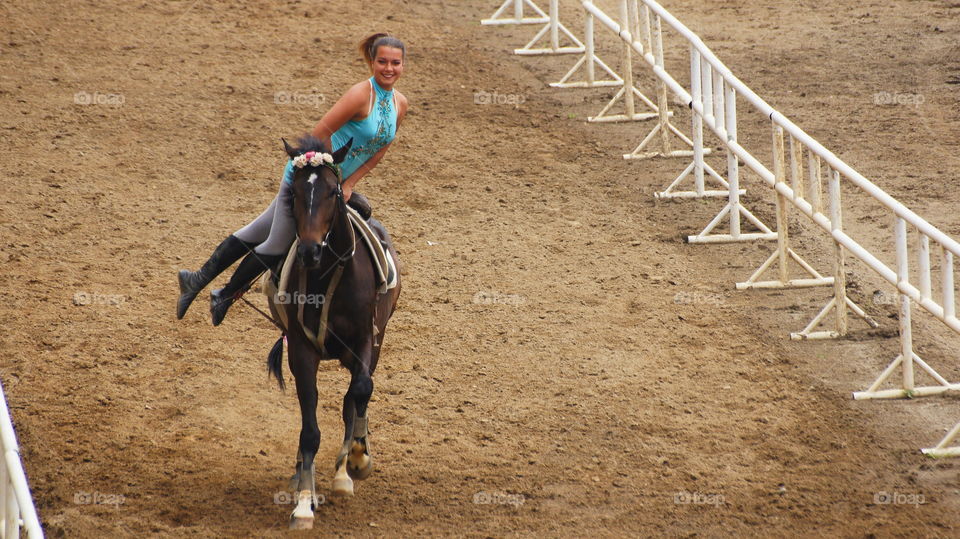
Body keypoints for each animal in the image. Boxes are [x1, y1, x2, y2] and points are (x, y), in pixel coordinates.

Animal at [266, 135, 401, 529]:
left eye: (332, 192)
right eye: (294, 193)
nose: (310, 250)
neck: (327, 274)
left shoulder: (364, 342)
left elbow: (359, 393)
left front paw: (357, 460)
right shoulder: (301, 350)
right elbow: (309, 426)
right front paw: (303, 502)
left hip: (376, 343)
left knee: (354, 399)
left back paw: (346, 470)